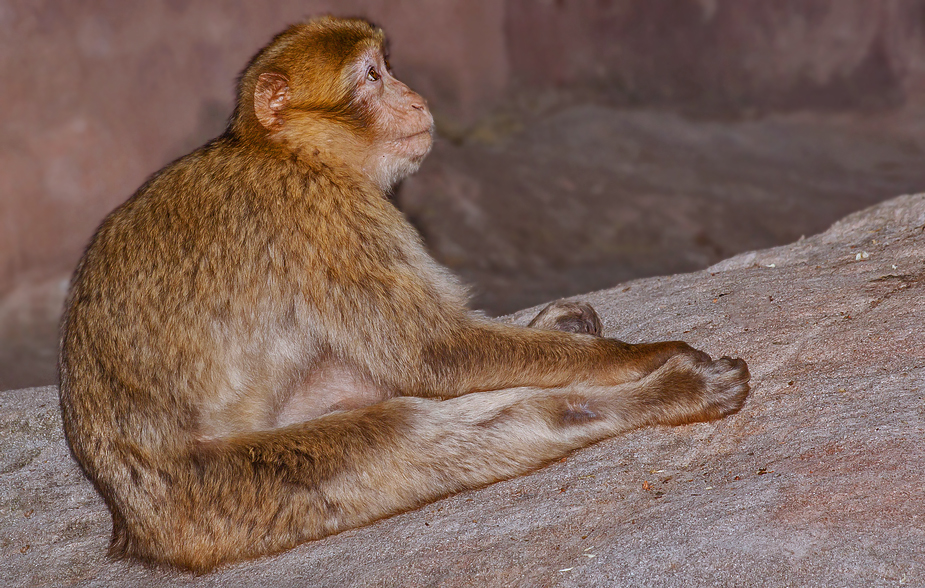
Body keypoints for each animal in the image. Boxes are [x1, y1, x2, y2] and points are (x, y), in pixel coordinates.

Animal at [57, 16, 752, 572]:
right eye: (371, 77)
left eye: (388, 68)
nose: (416, 99)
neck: (291, 152)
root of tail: (132, 522)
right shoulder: (330, 218)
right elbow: (437, 357)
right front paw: (649, 357)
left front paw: (563, 325)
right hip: (226, 499)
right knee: (407, 426)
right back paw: (662, 396)